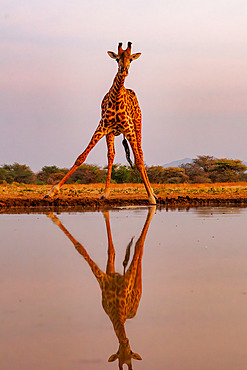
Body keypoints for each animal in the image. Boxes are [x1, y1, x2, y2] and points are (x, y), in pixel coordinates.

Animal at [44, 43, 156, 207]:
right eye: (117, 59)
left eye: (130, 59)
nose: (124, 70)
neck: (117, 98)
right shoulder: (101, 128)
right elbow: (81, 157)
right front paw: (52, 192)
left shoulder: (129, 129)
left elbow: (139, 162)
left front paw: (151, 197)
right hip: (111, 133)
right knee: (111, 155)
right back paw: (106, 193)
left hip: (137, 124)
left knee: (140, 154)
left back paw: (152, 191)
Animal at [47, 207, 155, 368]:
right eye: (119, 353)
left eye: (130, 352)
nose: (125, 341)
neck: (117, 311)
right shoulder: (103, 279)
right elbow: (82, 248)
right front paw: (53, 216)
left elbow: (137, 245)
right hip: (113, 271)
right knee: (114, 252)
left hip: (135, 283)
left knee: (138, 249)